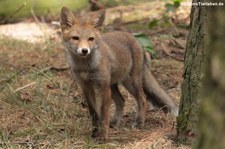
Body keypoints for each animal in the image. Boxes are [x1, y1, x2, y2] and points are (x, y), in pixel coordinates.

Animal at [59, 7, 178, 141]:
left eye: (90, 39)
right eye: (75, 38)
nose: (85, 50)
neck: (86, 67)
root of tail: (133, 37)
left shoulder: (103, 87)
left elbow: (104, 114)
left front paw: (103, 137)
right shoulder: (86, 87)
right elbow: (94, 113)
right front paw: (94, 133)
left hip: (130, 82)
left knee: (142, 99)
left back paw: (138, 123)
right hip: (113, 85)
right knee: (122, 101)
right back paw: (115, 123)